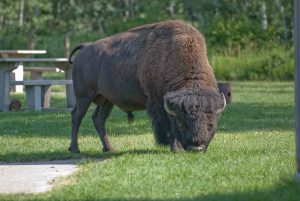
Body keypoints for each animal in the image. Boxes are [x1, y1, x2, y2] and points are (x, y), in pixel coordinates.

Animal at [68, 20, 225, 153]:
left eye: (211, 125)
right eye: (182, 124)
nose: (196, 148)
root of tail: (85, 48)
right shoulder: (159, 104)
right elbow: (169, 128)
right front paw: (175, 149)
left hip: (106, 100)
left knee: (98, 119)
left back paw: (109, 148)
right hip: (84, 96)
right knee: (77, 116)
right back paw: (75, 149)